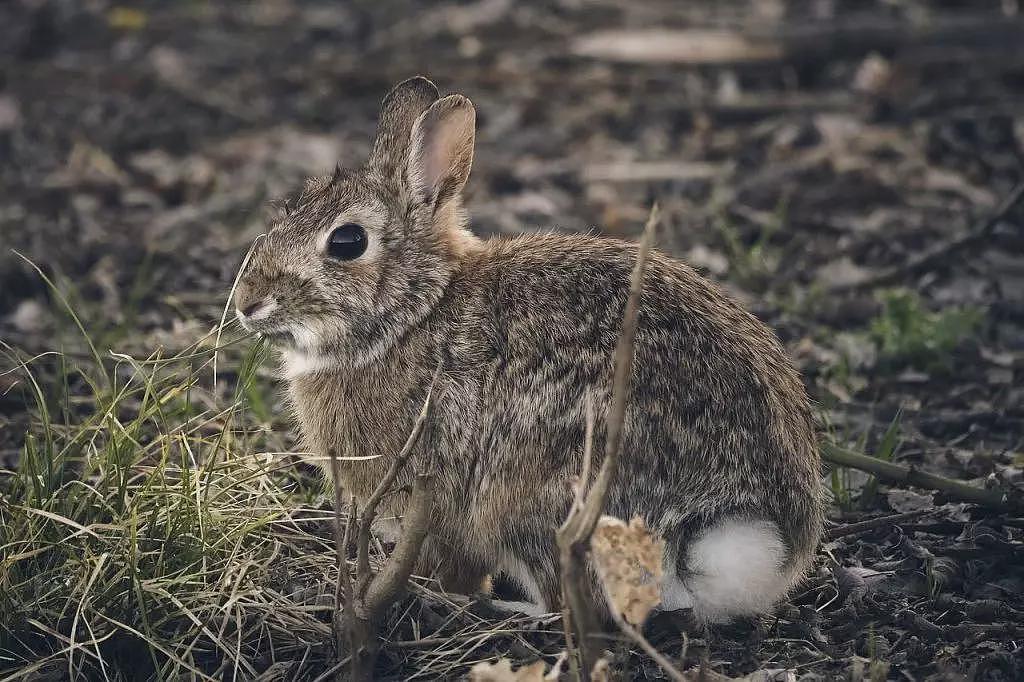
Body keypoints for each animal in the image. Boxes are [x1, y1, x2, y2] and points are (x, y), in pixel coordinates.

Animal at [232, 75, 823, 622]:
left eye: (347, 242)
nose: (246, 302)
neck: (417, 310)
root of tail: (730, 528)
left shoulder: (433, 500)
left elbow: (450, 559)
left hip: (532, 497)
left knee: (567, 599)